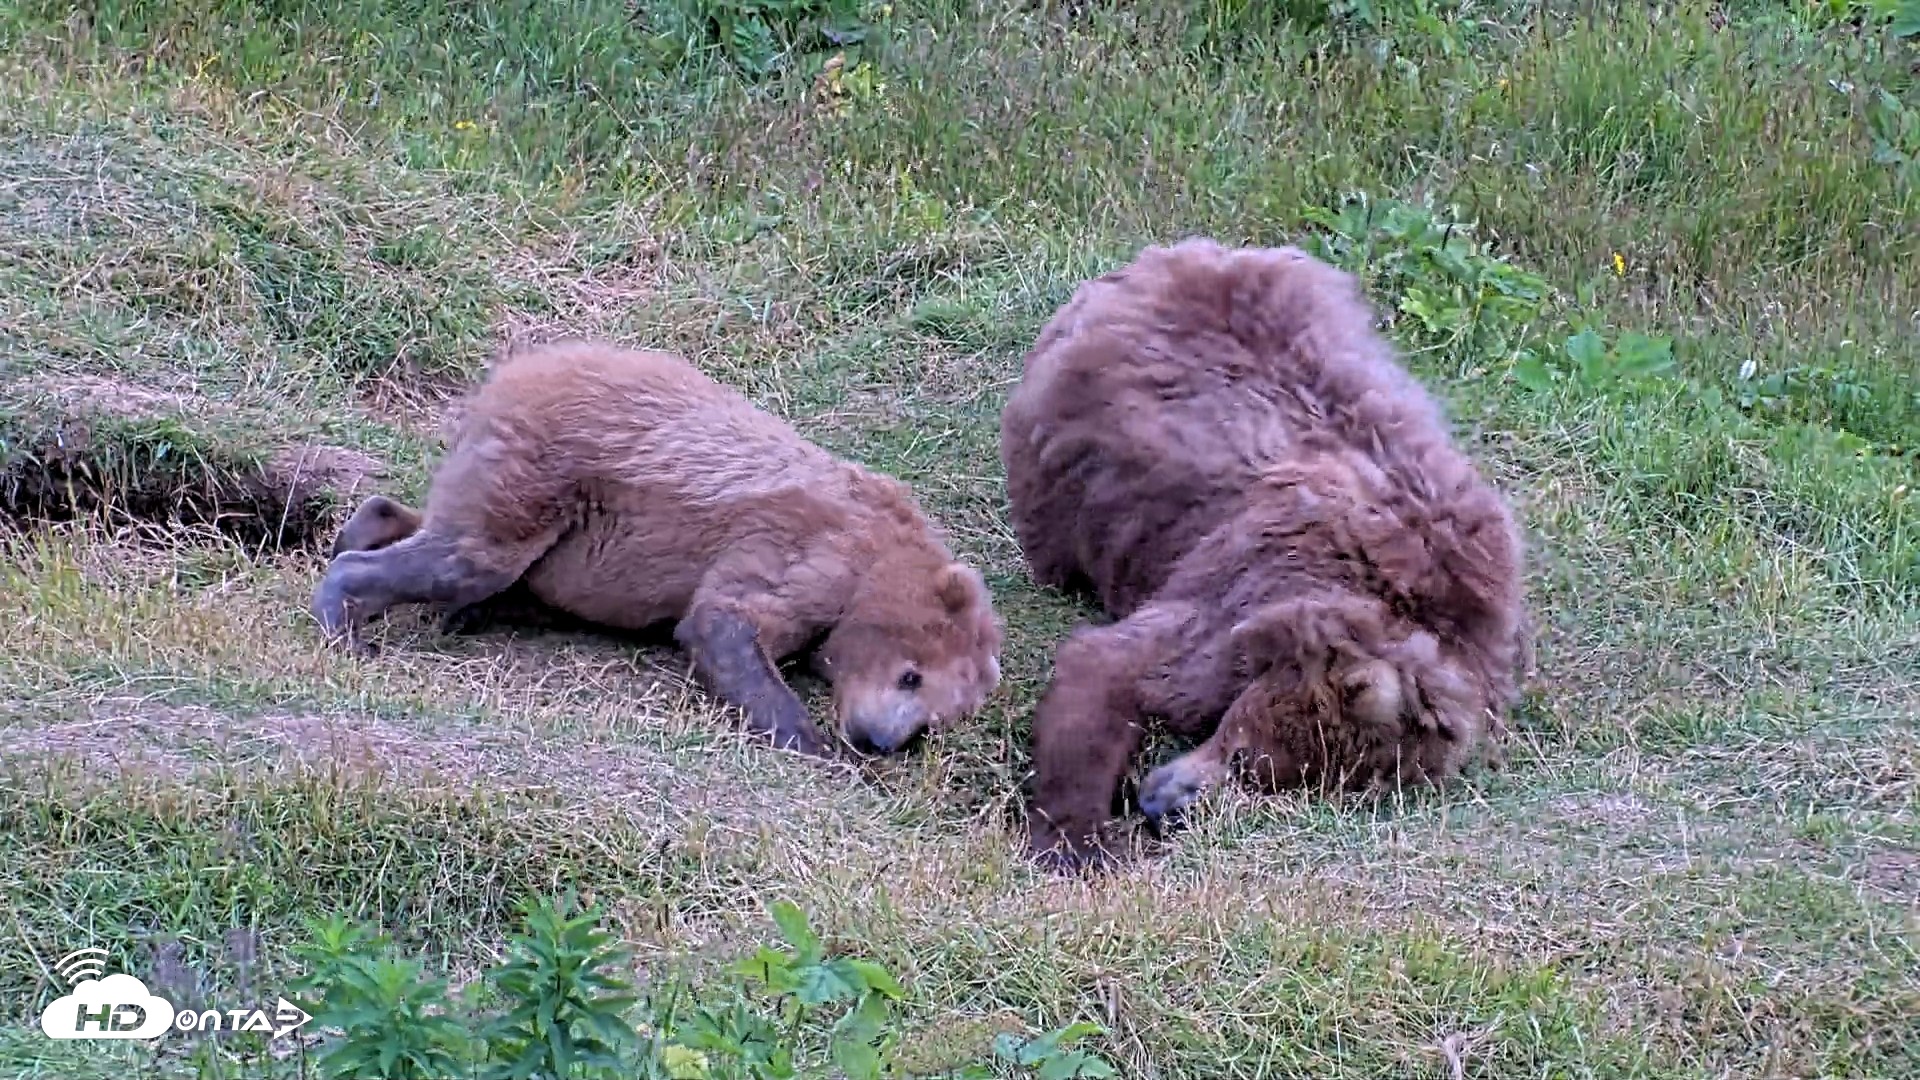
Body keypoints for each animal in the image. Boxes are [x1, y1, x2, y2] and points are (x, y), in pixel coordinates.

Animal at [311, 339, 1006, 760]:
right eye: (912, 673)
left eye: (932, 721)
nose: (877, 738)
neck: (878, 563)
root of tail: (512, 371)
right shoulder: (807, 547)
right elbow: (726, 620)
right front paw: (805, 735)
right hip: (546, 470)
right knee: (471, 558)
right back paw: (345, 613)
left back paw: (372, 531)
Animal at [999, 238, 1530, 870]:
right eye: (1245, 751)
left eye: (1283, 782)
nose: (1163, 808)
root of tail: (1177, 253)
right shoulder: (1258, 583)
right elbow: (1113, 666)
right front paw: (1076, 840)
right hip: (1060, 462)